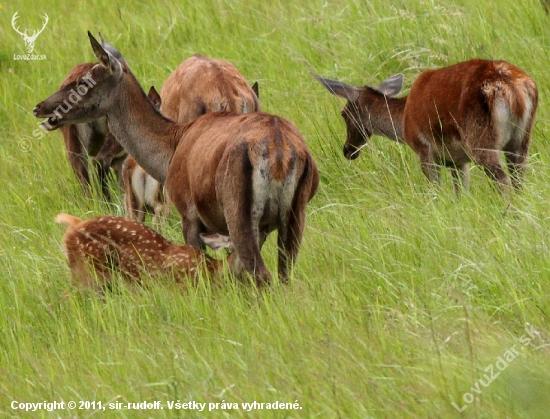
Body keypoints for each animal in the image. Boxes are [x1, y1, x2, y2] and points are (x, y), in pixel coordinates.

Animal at [314, 58, 540, 194]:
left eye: (344, 114)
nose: (348, 150)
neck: (403, 120)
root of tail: (513, 87)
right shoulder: (457, 159)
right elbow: (461, 194)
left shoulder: (424, 150)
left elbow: (436, 191)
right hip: (521, 139)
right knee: (519, 177)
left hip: (480, 137)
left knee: (503, 180)